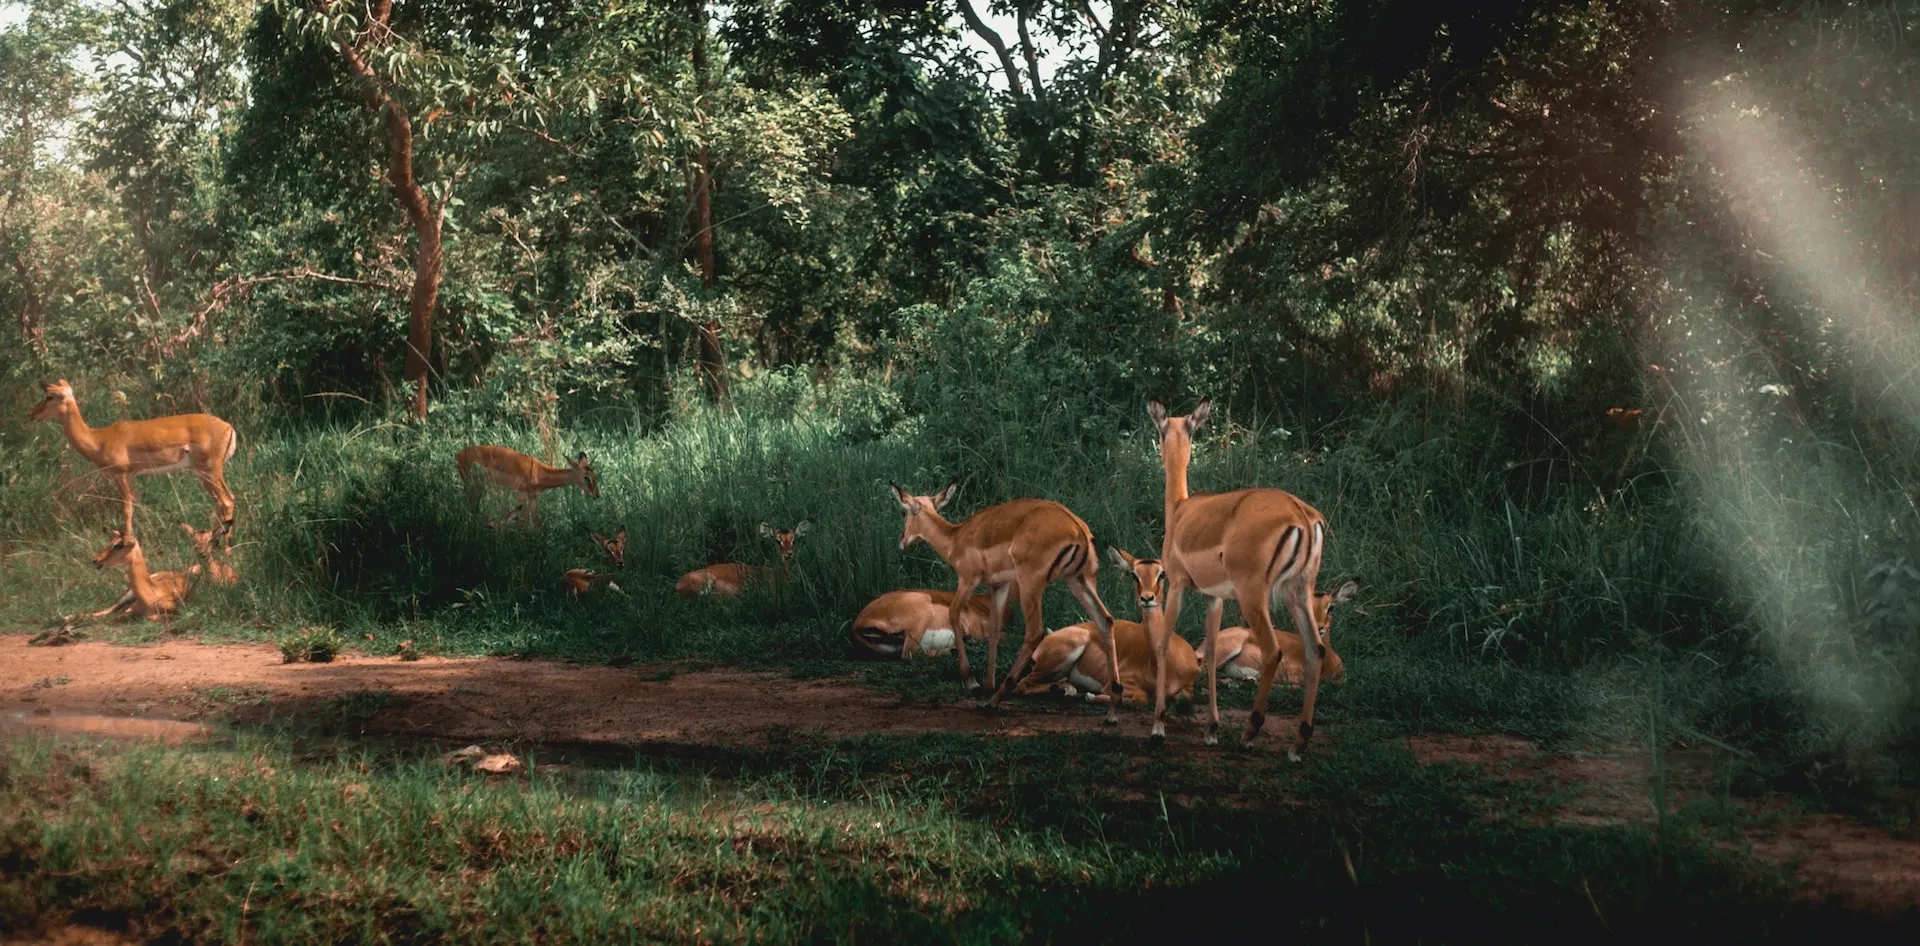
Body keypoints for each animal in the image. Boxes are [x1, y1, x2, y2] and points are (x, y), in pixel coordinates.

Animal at [30, 379, 238, 550]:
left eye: (50, 396)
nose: (32, 413)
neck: (98, 440)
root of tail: (229, 428)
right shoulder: (130, 476)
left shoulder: (121, 475)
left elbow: (127, 508)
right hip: (205, 474)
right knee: (224, 500)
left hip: (210, 470)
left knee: (226, 501)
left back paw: (225, 549)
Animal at [455, 444, 600, 527]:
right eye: (587, 477)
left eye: (595, 475)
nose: (596, 495)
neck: (538, 472)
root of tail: (459, 454)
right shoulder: (522, 494)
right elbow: (523, 522)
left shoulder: (533, 497)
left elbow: (535, 522)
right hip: (473, 487)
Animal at [888, 482, 1123, 723]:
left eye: (904, 511)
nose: (902, 540)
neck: (956, 537)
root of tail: (1078, 530)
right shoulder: (998, 586)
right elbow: (993, 629)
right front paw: (985, 689)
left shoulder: (968, 580)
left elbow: (953, 614)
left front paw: (972, 683)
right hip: (1079, 580)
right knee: (1105, 620)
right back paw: (1112, 710)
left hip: (1032, 584)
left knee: (1035, 632)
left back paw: (998, 697)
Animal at [1015, 548, 1200, 706]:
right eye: (1134, 575)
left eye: (1162, 574)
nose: (1147, 598)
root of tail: (1046, 640)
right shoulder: (1121, 682)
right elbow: (1140, 697)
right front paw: (1091, 696)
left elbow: (1181, 697)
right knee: (1021, 685)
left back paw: (1066, 688)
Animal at [1148, 398, 1336, 760]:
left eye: (1163, 430)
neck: (1180, 512)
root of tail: (1301, 515)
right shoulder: (1214, 597)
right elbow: (1208, 656)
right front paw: (1211, 730)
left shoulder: (1176, 585)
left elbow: (1163, 644)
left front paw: (1159, 727)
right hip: (1298, 591)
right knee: (1315, 650)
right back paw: (1298, 743)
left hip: (1254, 596)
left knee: (1274, 651)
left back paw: (1250, 734)